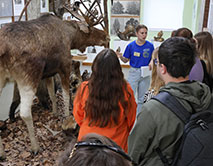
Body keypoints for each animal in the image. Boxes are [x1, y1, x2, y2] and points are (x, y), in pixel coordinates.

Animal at [0, 0, 110, 158]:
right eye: (90, 28)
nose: (106, 36)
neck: (71, 37)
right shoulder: (64, 66)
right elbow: (65, 94)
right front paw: (66, 116)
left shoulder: (48, 73)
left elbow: (52, 94)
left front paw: (55, 112)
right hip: (28, 76)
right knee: (25, 112)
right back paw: (35, 147)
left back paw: (2, 153)